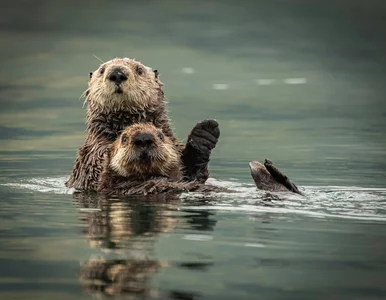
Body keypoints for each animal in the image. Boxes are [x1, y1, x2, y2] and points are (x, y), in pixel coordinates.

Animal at [65, 57, 219, 191]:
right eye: (102, 70)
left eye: (139, 70)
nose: (117, 73)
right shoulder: (91, 155)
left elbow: (193, 174)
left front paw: (204, 133)